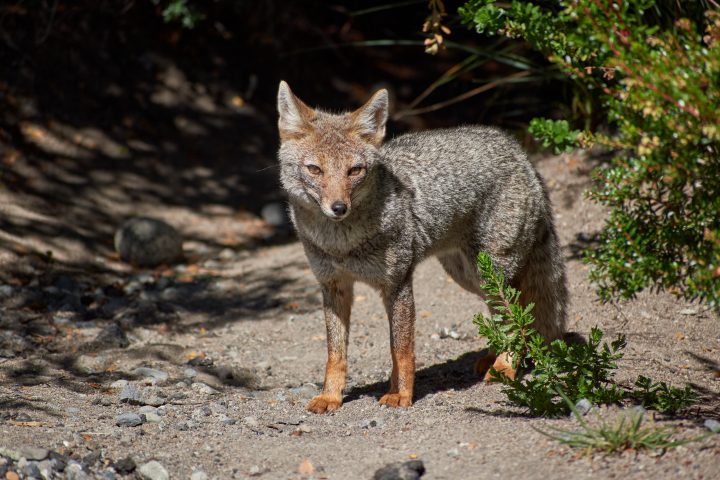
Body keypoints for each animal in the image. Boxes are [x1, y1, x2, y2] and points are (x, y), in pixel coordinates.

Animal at [276, 81, 568, 412]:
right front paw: (331, 396)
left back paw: (505, 367)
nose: (338, 207)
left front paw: (401, 394)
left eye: (354, 171)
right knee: (504, 315)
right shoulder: (333, 286)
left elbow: (400, 349)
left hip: (492, 273)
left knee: (517, 316)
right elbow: (335, 354)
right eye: (315, 169)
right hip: (471, 277)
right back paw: (494, 358)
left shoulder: (398, 283)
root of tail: (519, 152)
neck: (342, 244)